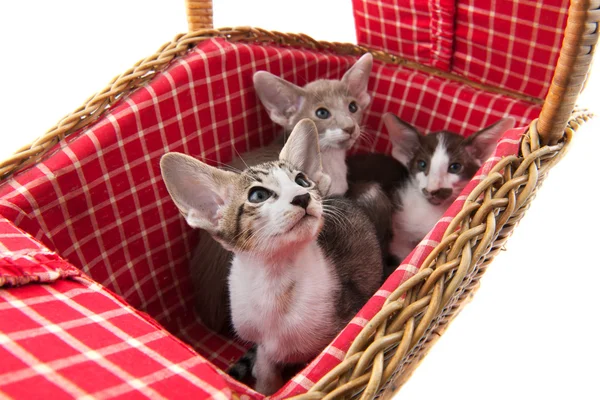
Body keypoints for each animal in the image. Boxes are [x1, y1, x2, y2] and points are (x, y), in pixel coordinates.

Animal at [161, 119, 384, 394]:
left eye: (302, 180)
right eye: (258, 195)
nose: (302, 196)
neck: (274, 282)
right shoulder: (259, 338)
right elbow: (266, 368)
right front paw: (266, 383)